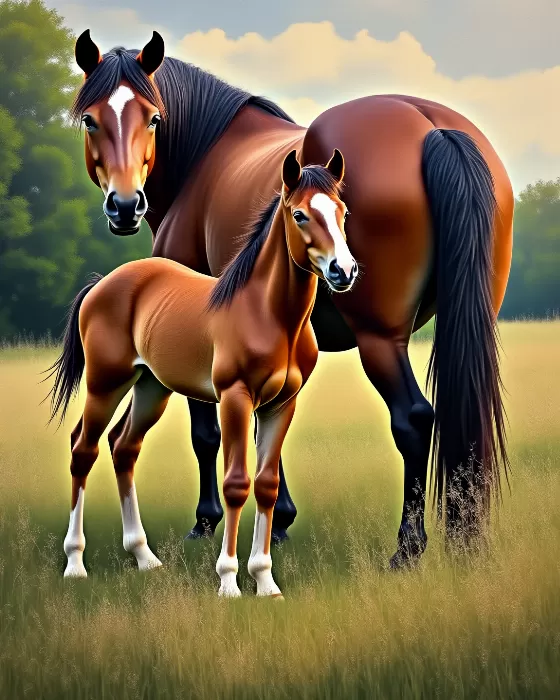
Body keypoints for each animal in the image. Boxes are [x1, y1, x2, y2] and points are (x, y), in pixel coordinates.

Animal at [46, 149, 358, 596]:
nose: (343, 271)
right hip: (105, 383)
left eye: (343, 212)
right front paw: (229, 582)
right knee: (82, 449)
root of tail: (102, 284)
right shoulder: (234, 398)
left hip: (151, 388)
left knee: (124, 447)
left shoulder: (282, 404)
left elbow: (266, 484)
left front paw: (266, 582)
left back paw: (144, 557)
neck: (269, 316)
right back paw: (75, 563)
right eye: (299, 215)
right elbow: (236, 483)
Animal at [68, 29, 513, 565]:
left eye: (153, 117)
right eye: (90, 119)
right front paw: (277, 520)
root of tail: (433, 128)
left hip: (381, 338)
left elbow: (206, 432)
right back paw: (467, 539)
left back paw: (408, 548)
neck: (204, 155)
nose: (125, 205)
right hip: (468, 322)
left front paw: (208, 521)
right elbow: (264, 437)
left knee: (412, 419)